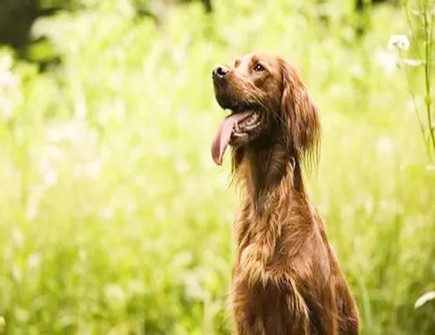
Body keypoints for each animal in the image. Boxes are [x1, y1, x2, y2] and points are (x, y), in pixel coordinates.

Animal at [210, 51, 358, 334]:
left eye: (259, 67)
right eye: (235, 64)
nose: (217, 71)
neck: (266, 201)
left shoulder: (319, 313)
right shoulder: (247, 309)